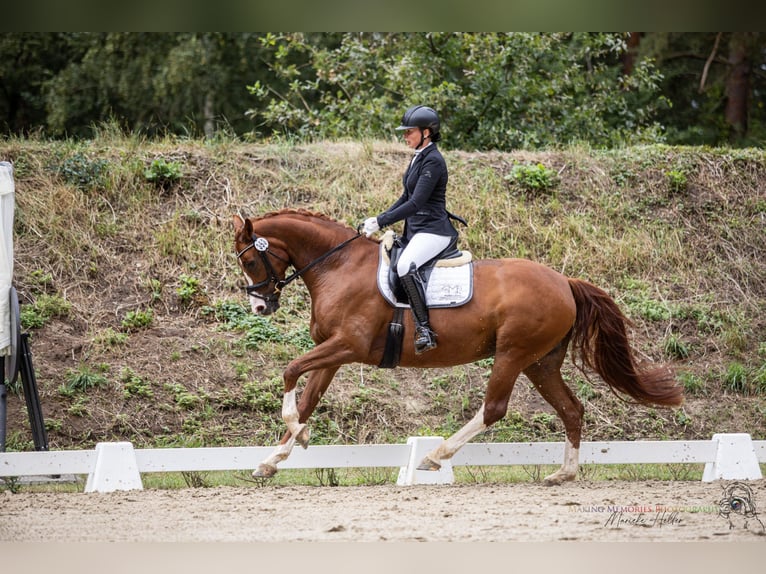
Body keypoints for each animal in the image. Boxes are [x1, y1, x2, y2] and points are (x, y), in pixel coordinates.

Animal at [232, 209, 684, 484]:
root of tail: (565, 282)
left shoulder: (348, 345)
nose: (260, 306)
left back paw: (436, 455)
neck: (338, 266)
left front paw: (297, 439)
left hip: (513, 354)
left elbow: (290, 370)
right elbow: (307, 398)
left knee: (494, 409)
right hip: (540, 363)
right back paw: (564, 475)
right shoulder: (333, 352)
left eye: (250, 261)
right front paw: (273, 459)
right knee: (572, 409)